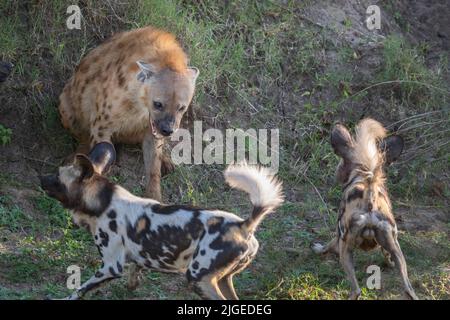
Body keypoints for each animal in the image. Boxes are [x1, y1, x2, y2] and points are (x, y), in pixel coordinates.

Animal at [39, 142, 284, 300]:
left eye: (57, 177)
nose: (41, 178)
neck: (101, 201)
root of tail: (243, 225)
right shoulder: (135, 258)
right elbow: (134, 275)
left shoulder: (109, 267)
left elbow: (79, 290)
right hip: (223, 279)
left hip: (198, 278)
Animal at [59, 26, 200, 200]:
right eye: (158, 104)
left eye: (181, 107)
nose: (167, 130)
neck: (139, 104)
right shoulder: (102, 125)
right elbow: (102, 153)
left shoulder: (151, 127)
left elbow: (153, 167)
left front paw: (154, 197)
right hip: (66, 106)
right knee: (82, 135)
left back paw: (166, 161)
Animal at [312, 118, 420, 300]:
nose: (336, 174)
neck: (363, 172)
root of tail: (369, 205)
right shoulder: (389, 245)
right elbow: (386, 254)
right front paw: (389, 264)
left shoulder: (338, 238)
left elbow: (327, 245)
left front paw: (318, 249)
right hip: (397, 250)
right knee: (408, 289)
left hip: (346, 250)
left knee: (356, 290)